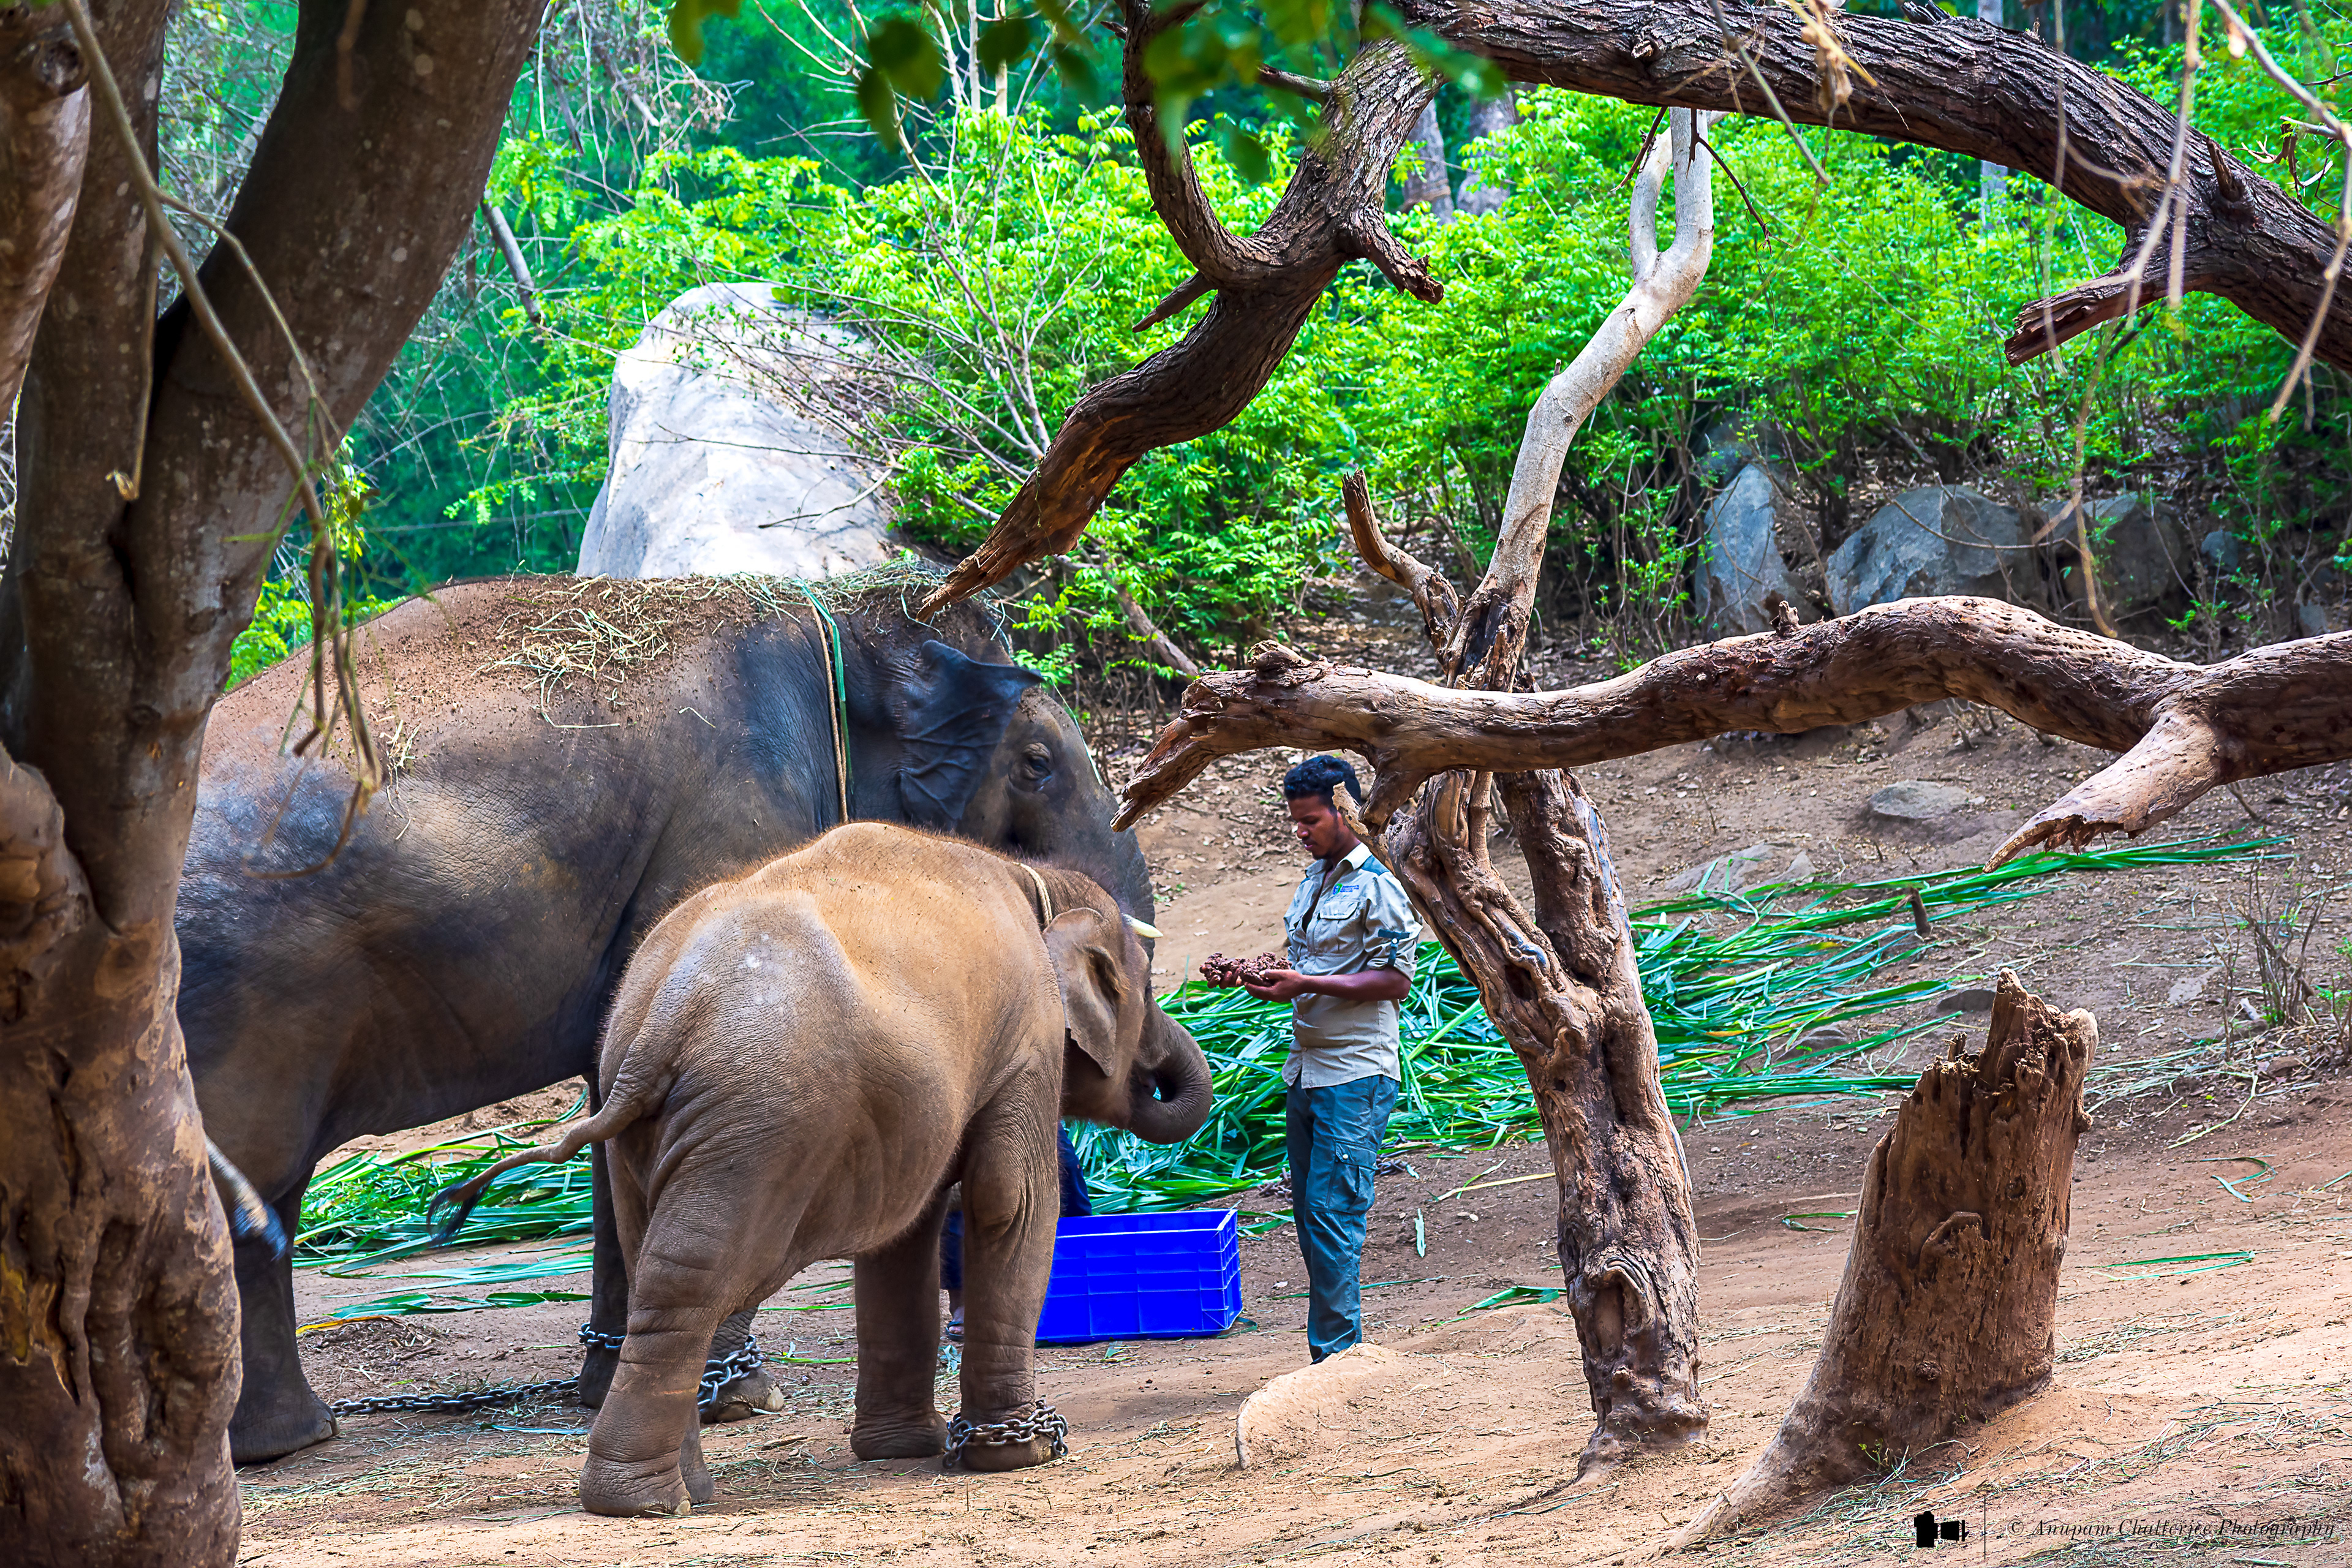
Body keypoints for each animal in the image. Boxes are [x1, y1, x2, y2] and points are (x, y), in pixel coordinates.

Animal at [430, 823, 1208, 1516]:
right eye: (1144, 989)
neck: (1036, 880)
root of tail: (663, 1015)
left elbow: (906, 1236)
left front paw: (904, 1449)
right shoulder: (1027, 1040)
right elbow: (1008, 1201)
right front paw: (1022, 1454)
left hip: (644, 1130)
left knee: (653, 1263)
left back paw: (682, 1493)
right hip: (758, 1119)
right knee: (693, 1277)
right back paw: (647, 1503)